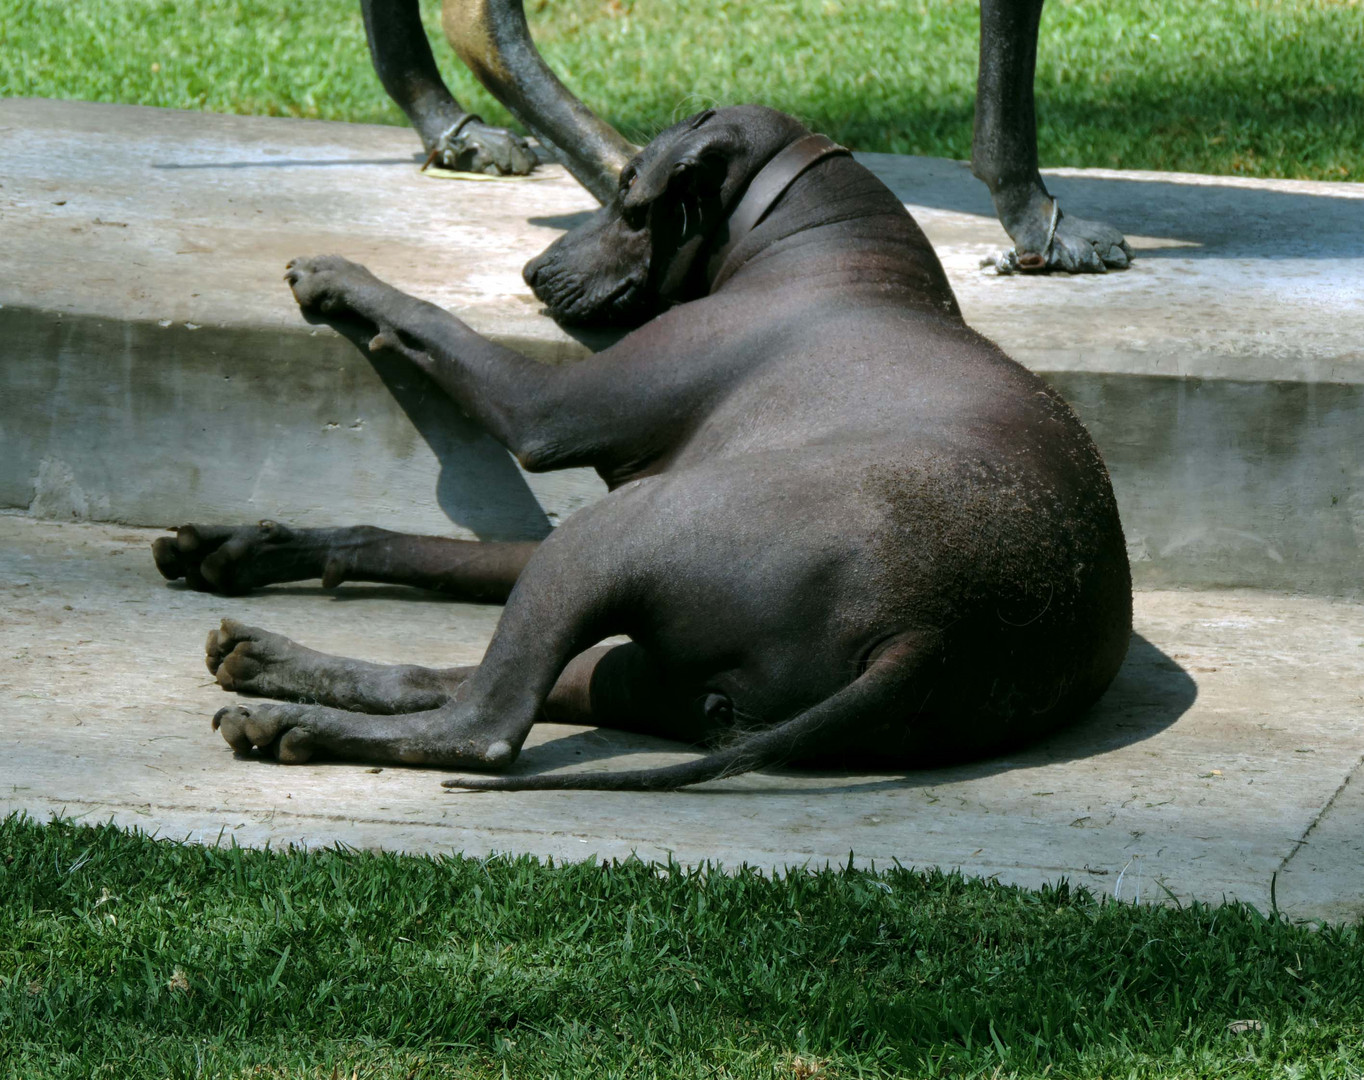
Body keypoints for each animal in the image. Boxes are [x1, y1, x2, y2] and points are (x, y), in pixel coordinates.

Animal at [152, 105, 1129, 790]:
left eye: (628, 201)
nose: (532, 273)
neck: (834, 244)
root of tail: (928, 631)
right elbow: (411, 545)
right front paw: (253, 546)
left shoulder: (543, 410)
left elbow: (435, 320)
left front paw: (344, 278)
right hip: (656, 670)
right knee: (454, 676)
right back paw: (275, 662)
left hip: (616, 540)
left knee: (485, 723)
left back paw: (297, 721)